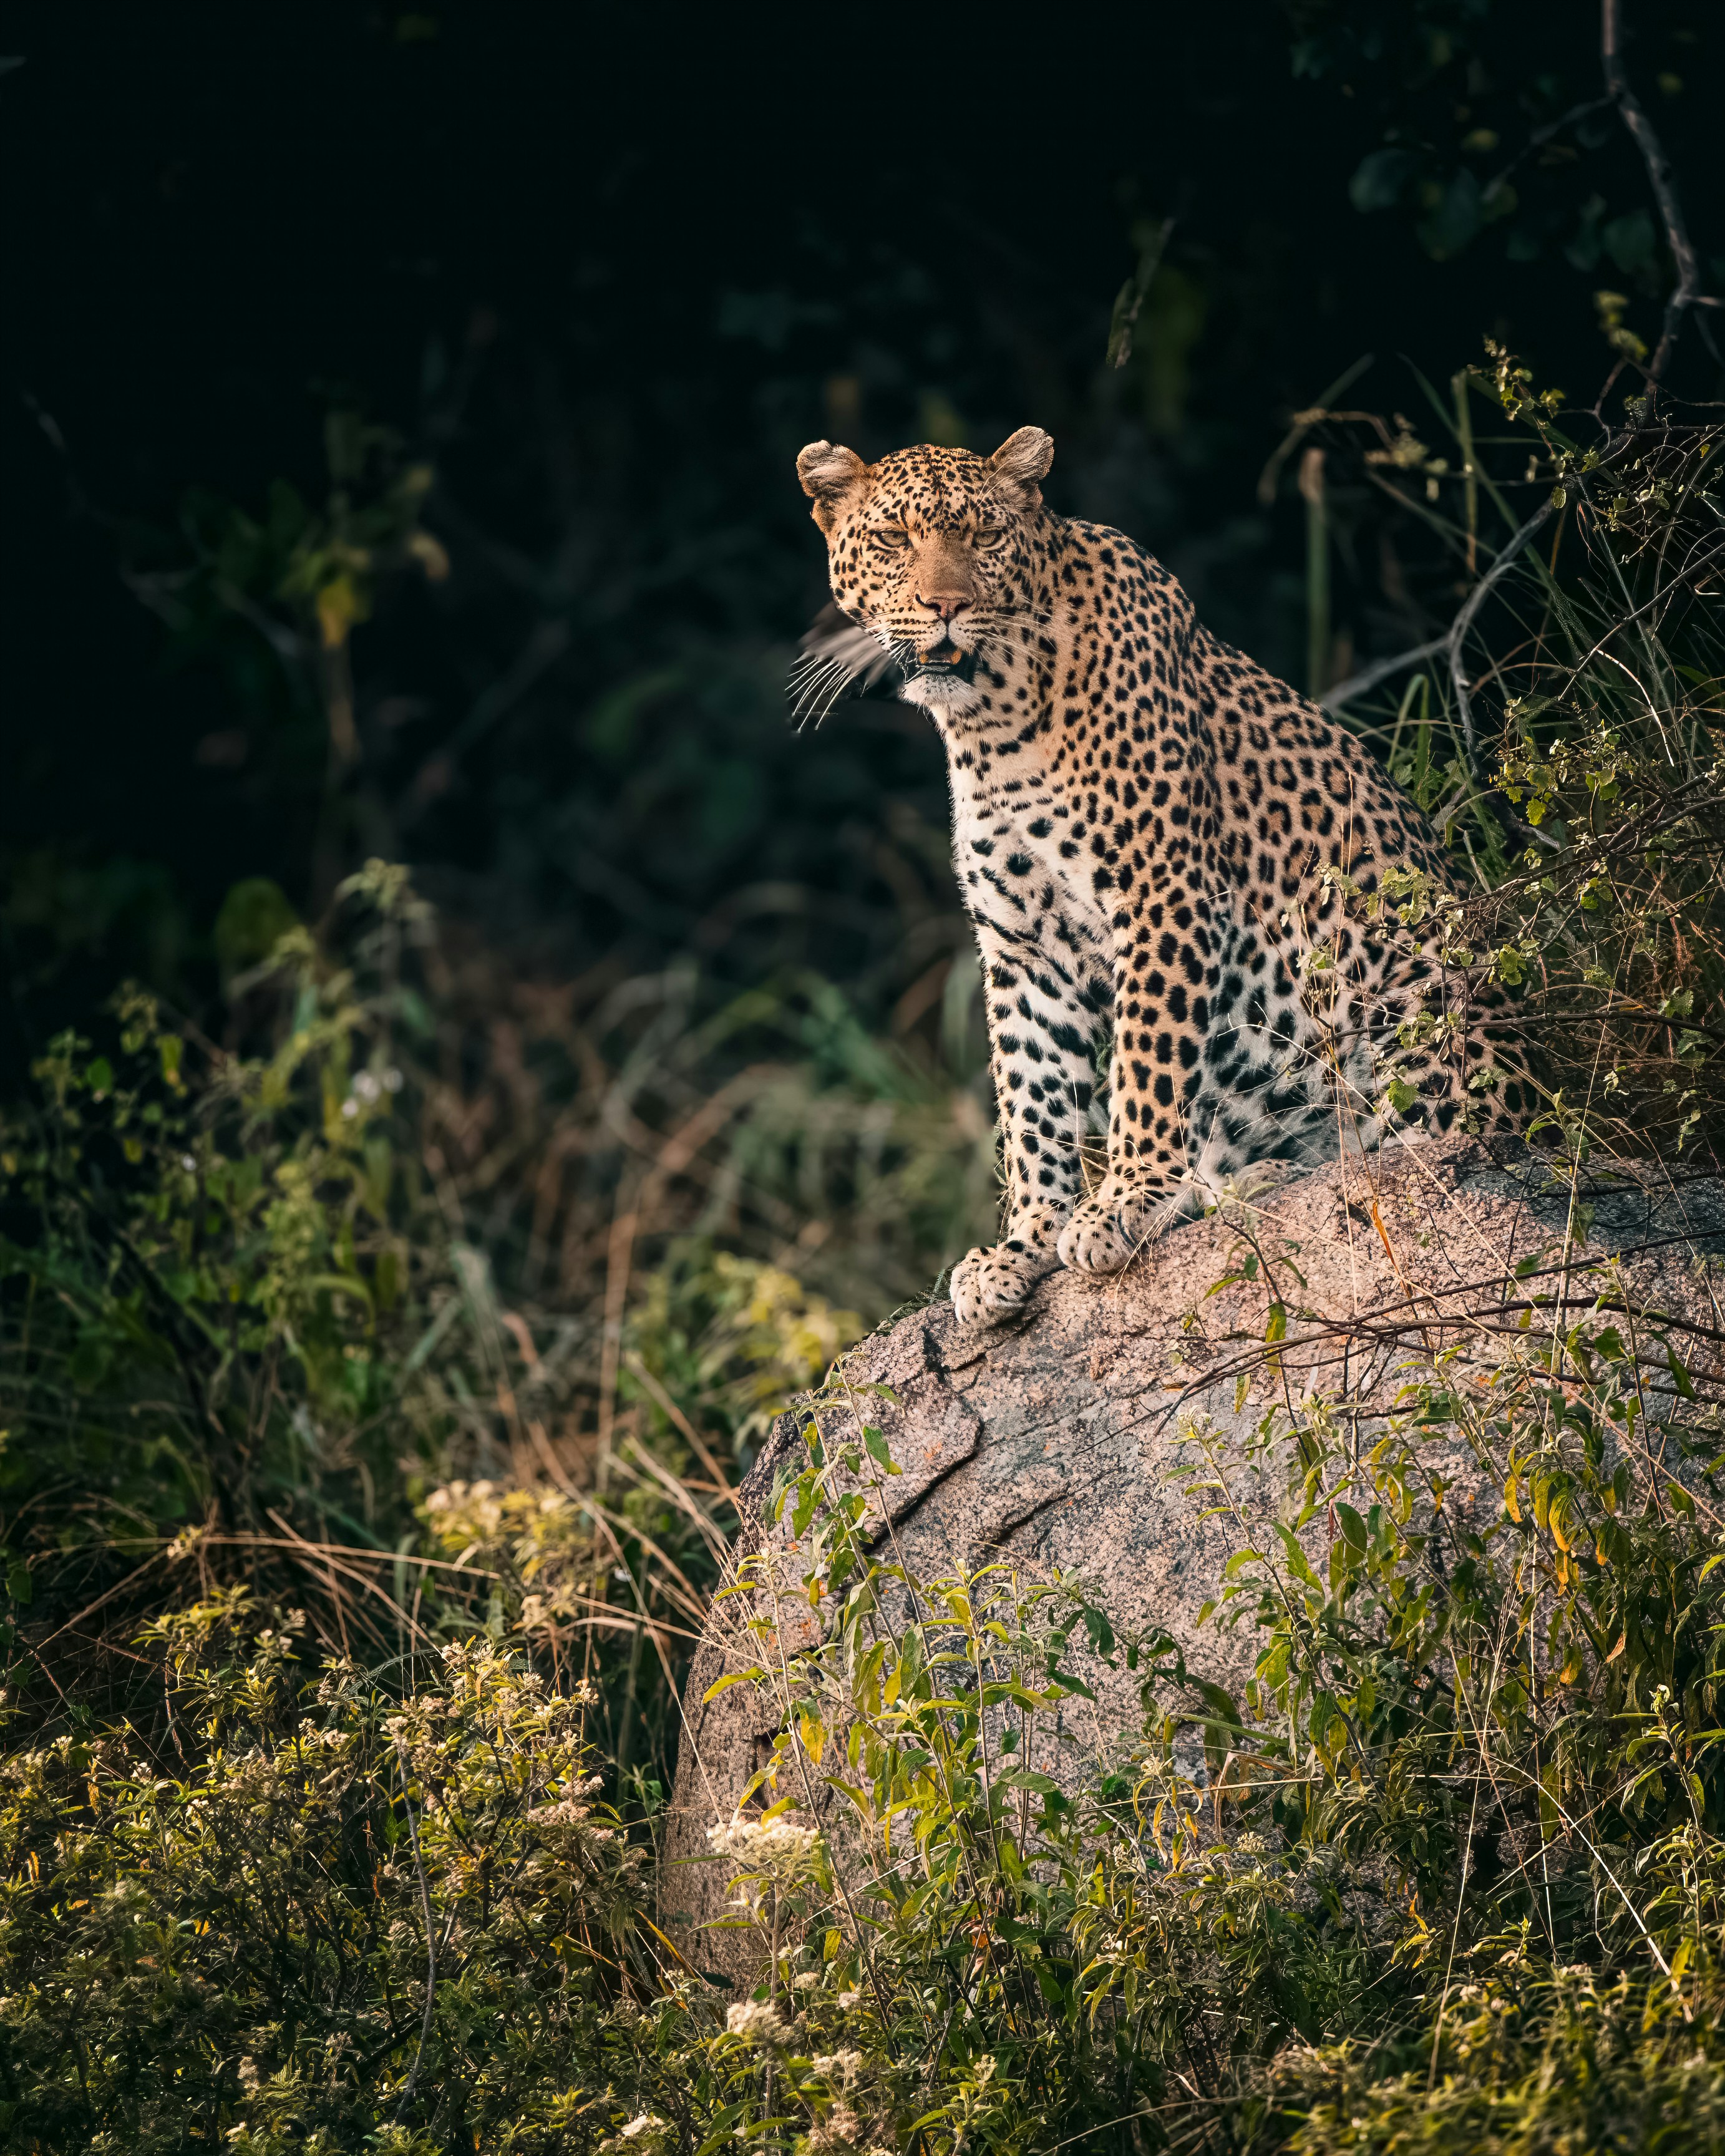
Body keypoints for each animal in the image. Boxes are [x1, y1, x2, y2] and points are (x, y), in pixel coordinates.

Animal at [795, 425, 1538, 1328]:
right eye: (893, 540)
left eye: (983, 537)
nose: (944, 606)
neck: (992, 723)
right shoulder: (1024, 943)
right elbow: (1031, 1098)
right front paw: (1023, 1243)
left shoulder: (1161, 893)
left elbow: (1146, 1063)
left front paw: (1124, 1201)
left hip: (1411, 1005)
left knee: (1415, 1145)